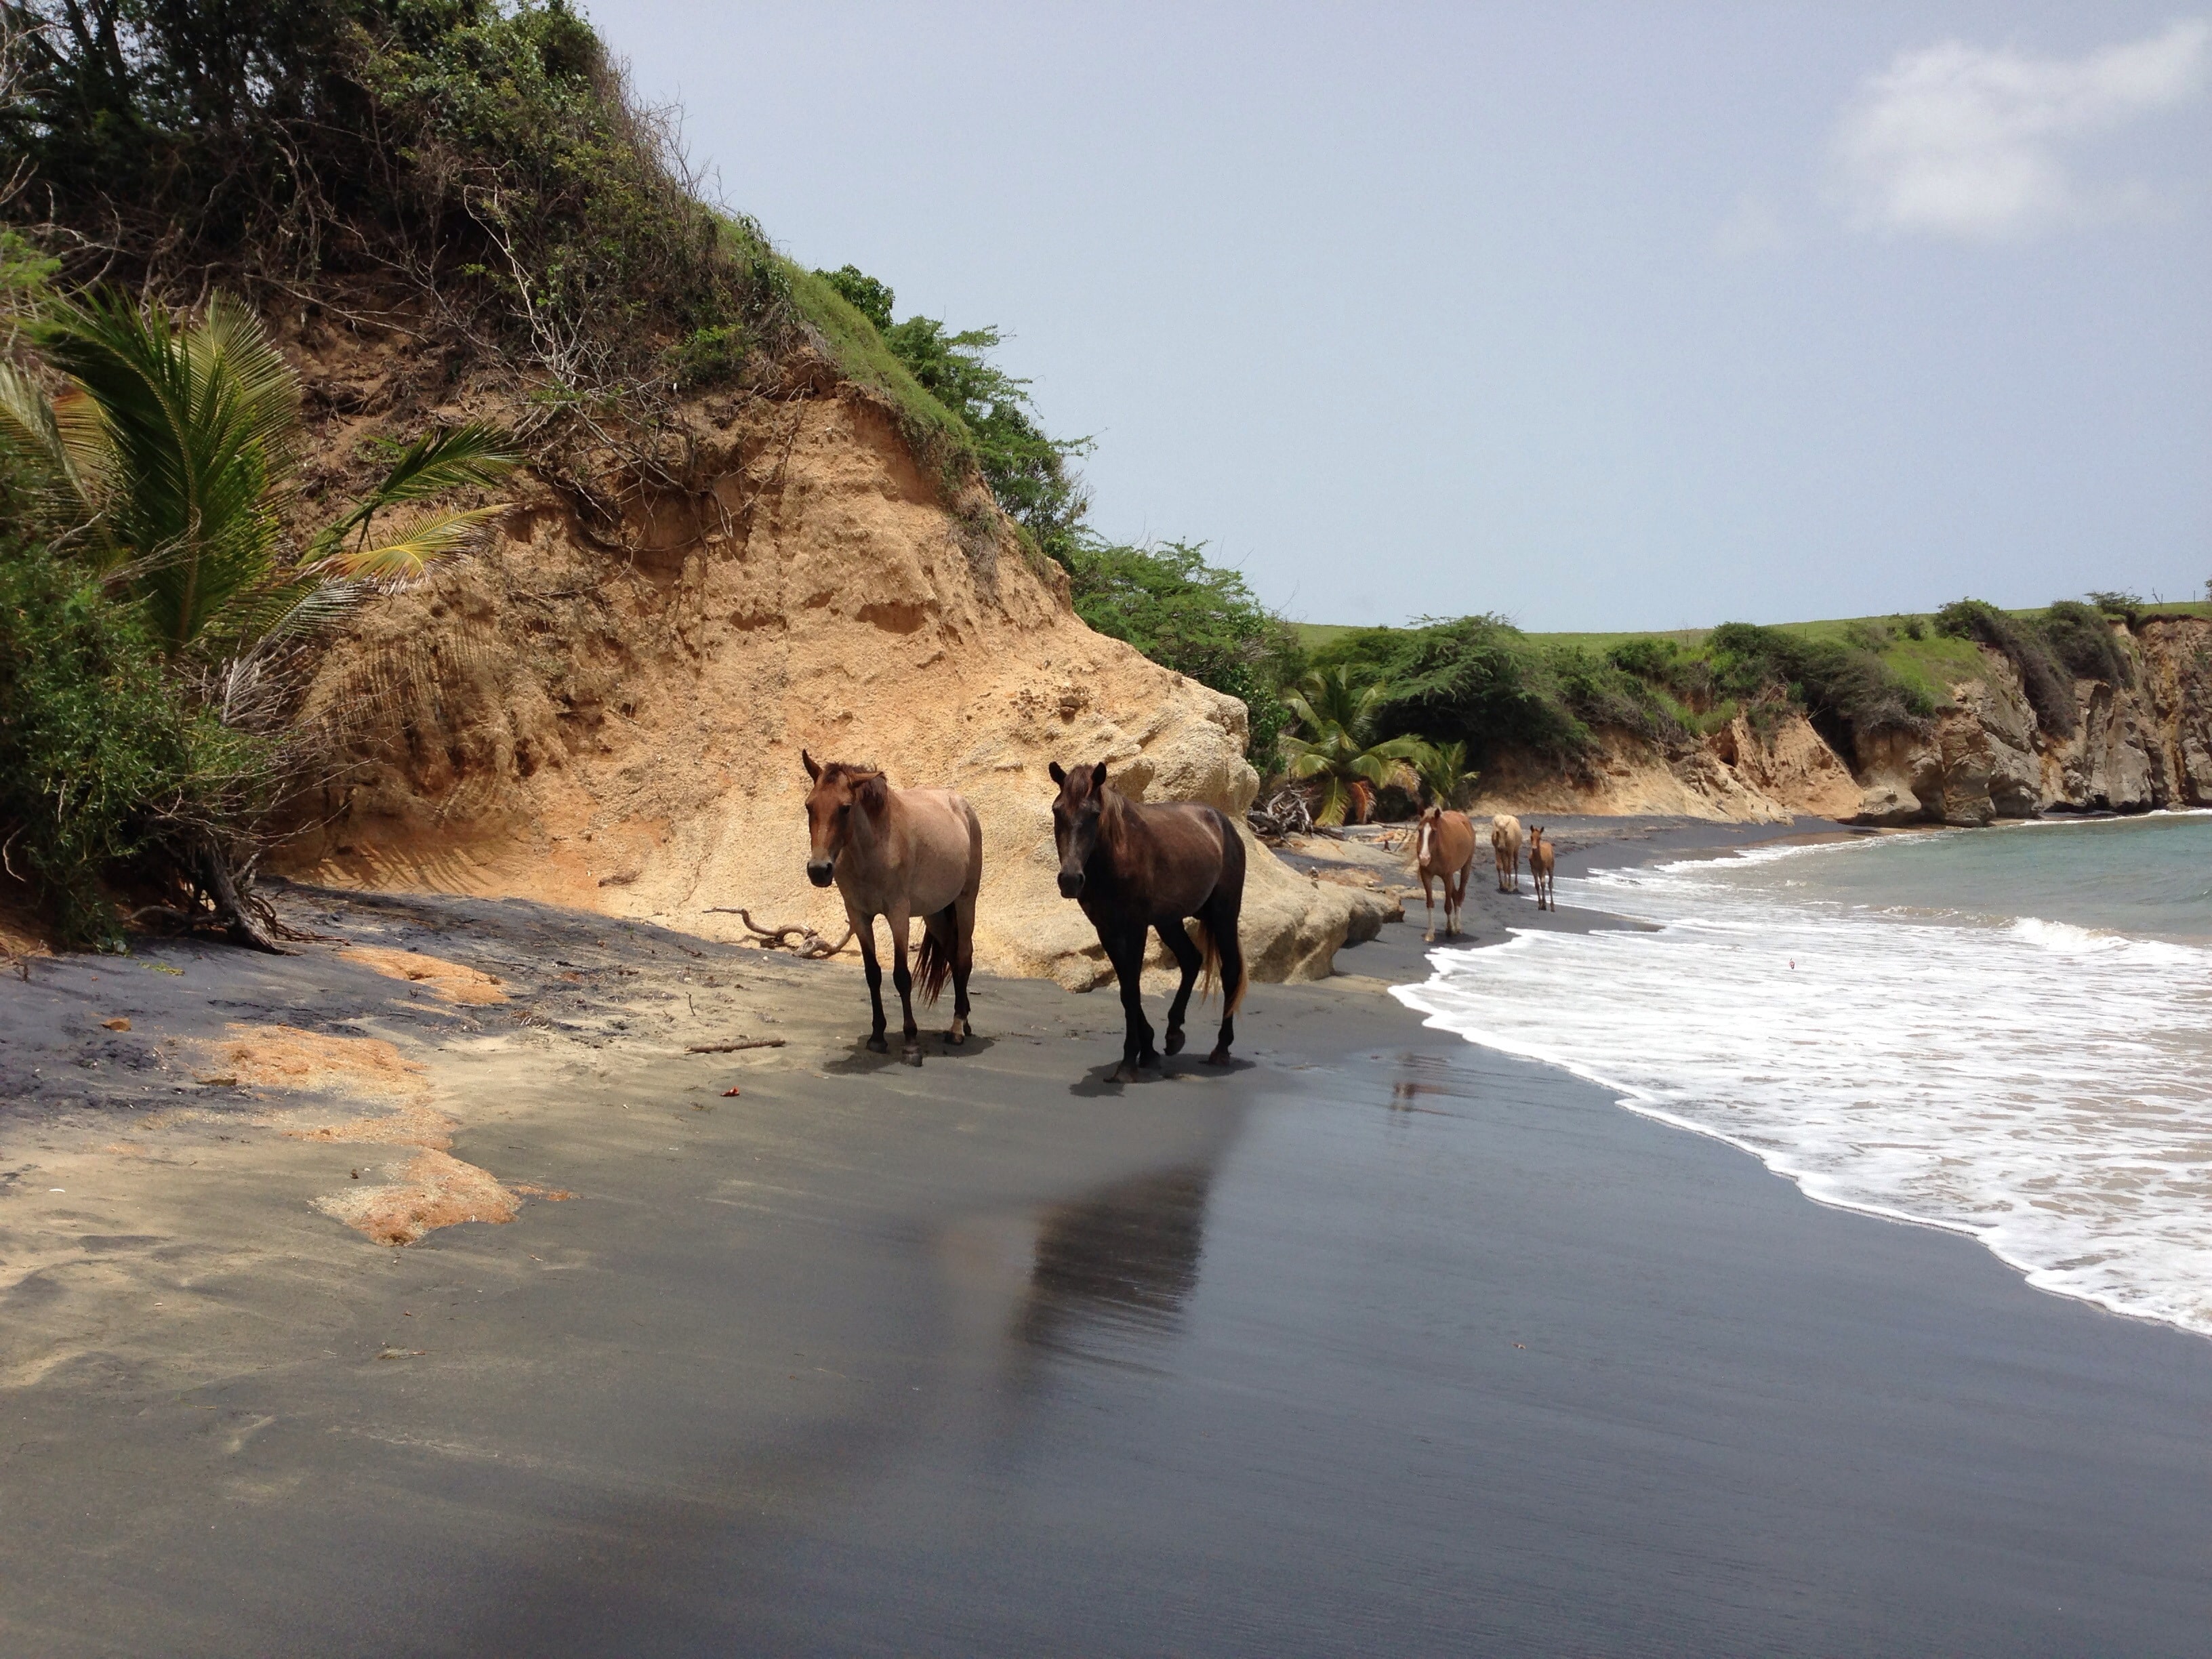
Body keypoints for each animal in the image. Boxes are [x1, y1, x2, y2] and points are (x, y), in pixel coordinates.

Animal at [800, 752, 982, 1066]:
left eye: (845, 808)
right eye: (809, 806)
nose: (819, 870)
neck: (873, 850)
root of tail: (963, 807)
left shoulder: (898, 915)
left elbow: (901, 977)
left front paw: (911, 1044)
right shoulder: (859, 917)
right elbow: (872, 974)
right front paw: (877, 1037)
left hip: (965, 901)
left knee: (963, 957)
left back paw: (958, 1029)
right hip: (935, 914)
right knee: (951, 956)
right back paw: (965, 1021)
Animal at [1040, 760, 1238, 1084]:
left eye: (1094, 814)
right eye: (1057, 811)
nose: (1070, 880)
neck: (1116, 857)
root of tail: (1222, 823)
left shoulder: (1136, 928)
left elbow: (1132, 989)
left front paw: (1127, 1063)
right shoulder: (1107, 929)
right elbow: (1126, 989)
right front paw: (1148, 1051)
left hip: (1224, 916)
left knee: (1231, 971)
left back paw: (1221, 1049)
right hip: (1169, 921)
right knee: (1191, 960)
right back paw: (1174, 1034)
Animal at [1406, 809, 1477, 942]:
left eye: (1434, 831)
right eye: (1420, 830)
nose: (1424, 858)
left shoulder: (1447, 876)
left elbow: (1448, 906)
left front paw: (1450, 929)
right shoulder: (1427, 876)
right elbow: (1430, 902)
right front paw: (1430, 933)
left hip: (1466, 867)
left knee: (1460, 895)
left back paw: (1457, 927)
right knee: (1455, 895)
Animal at [1530, 827, 1565, 916]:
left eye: (1539, 838)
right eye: (1531, 837)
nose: (1534, 848)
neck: (1537, 858)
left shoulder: (1543, 869)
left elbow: (1543, 884)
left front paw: (1544, 905)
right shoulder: (1534, 869)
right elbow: (1537, 885)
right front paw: (1540, 905)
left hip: (1550, 868)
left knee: (1550, 884)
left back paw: (1552, 907)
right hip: (1540, 872)